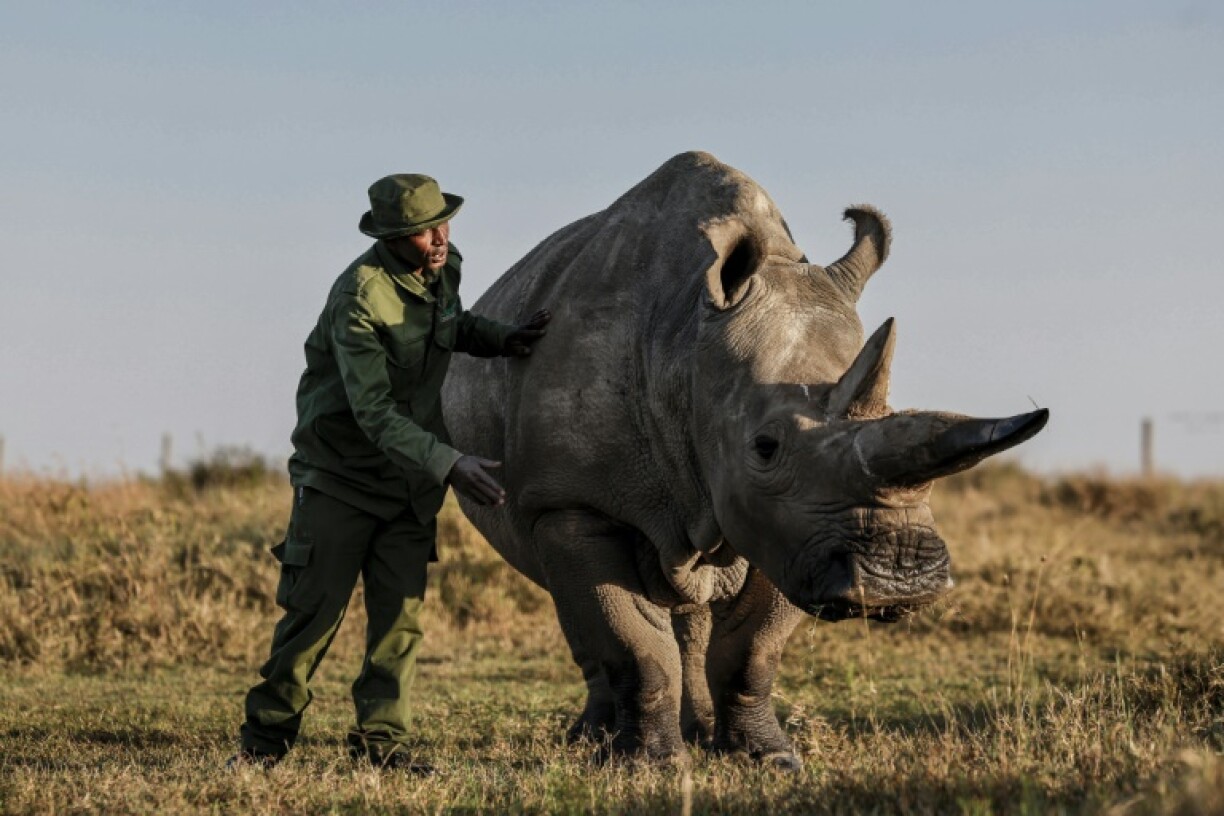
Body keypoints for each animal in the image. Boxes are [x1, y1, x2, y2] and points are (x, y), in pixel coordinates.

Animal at [444, 151, 1047, 769]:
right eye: (765, 446)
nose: (900, 578)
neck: (685, 348)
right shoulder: (575, 502)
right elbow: (634, 644)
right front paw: (651, 767)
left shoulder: (790, 530)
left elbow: (752, 650)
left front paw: (767, 759)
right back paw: (594, 740)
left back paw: (691, 731)